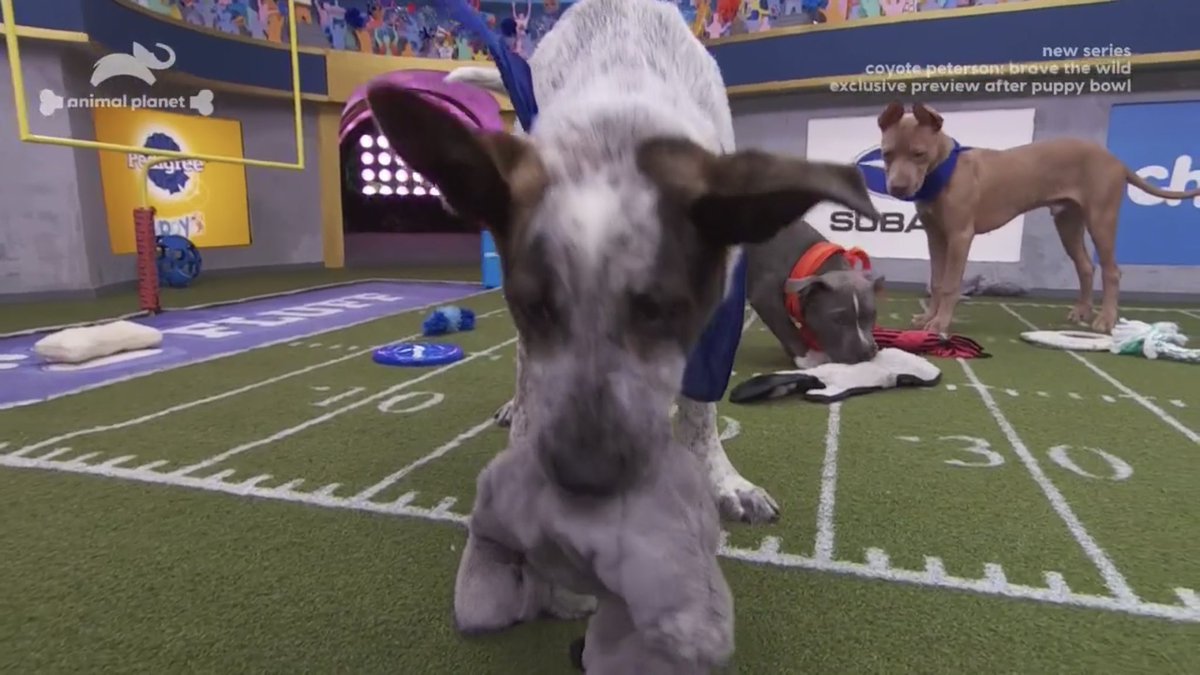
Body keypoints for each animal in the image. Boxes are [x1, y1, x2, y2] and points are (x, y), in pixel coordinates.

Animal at [745, 218, 884, 369]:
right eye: (838, 319)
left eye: (872, 315)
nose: (866, 352)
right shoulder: (765, 298)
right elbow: (787, 329)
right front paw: (809, 358)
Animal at [877, 100, 1200, 335]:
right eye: (887, 154)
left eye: (919, 154)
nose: (898, 188)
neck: (945, 169)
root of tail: (1115, 160)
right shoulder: (936, 236)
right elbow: (936, 279)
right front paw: (928, 317)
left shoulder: (959, 236)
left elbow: (949, 284)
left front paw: (940, 322)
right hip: (1067, 223)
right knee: (1085, 267)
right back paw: (1081, 311)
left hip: (1101, 219)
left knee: (1111, 271)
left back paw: (1106, 320)